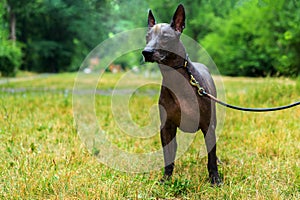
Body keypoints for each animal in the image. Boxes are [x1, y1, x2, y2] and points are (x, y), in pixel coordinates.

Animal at [142, 3, 221, 185]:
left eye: (165, 37)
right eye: (147, 36)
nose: (146, 52)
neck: (177, 81)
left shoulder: (208, 127)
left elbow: (211, 157)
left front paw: (215, 179)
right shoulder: (166, 128)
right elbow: (168, 157)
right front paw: (166, 179)